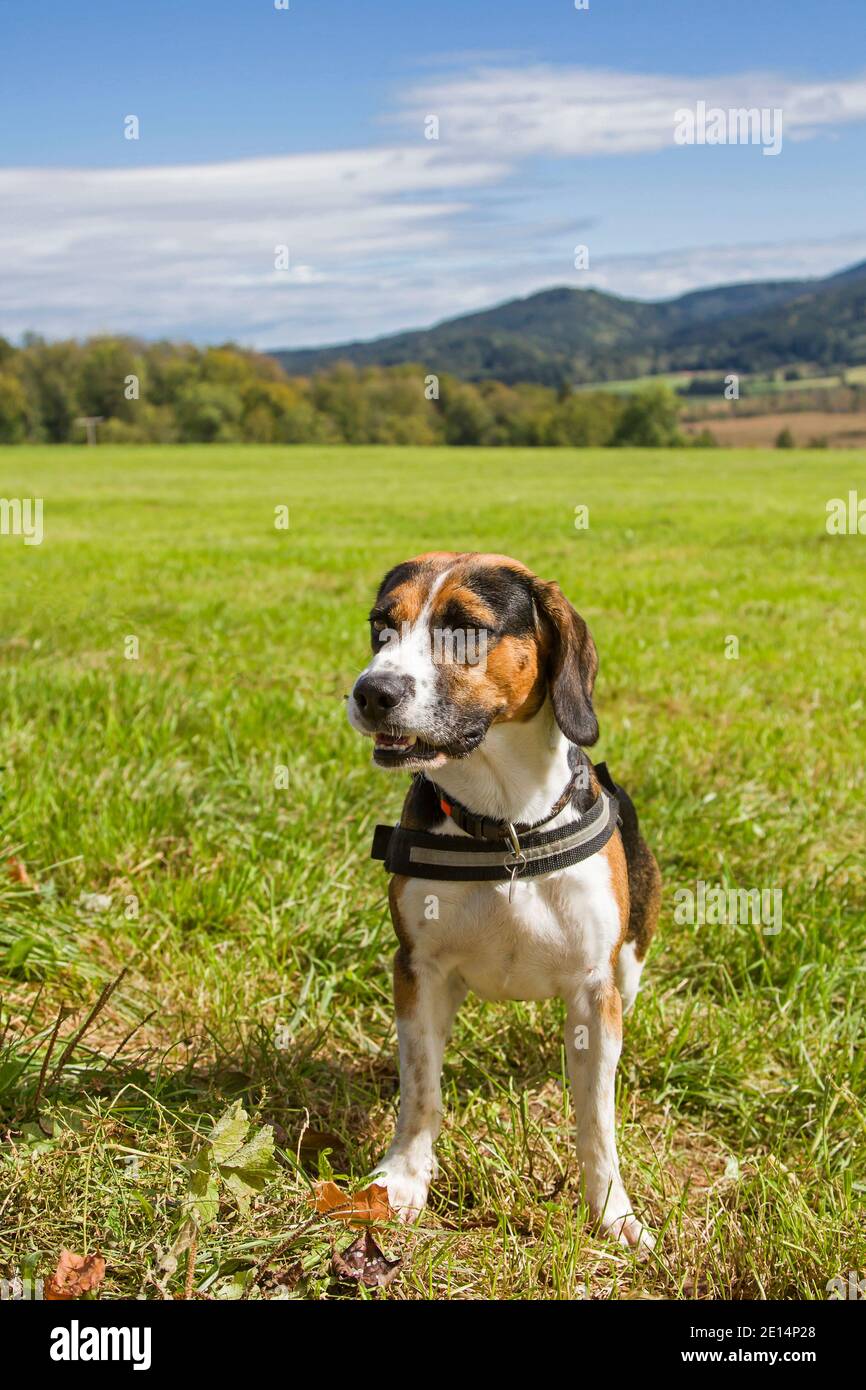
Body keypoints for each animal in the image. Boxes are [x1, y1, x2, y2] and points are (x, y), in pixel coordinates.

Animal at [348, 550, 661, 1251]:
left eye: (466, 628)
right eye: (381, 627)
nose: (371, 692)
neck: (504, 823)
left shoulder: (595, 989)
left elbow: (597, 1120)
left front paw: (612, 1212)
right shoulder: (418, 970)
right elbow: (421, 1090)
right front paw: (402, 1180)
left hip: (629, 968)